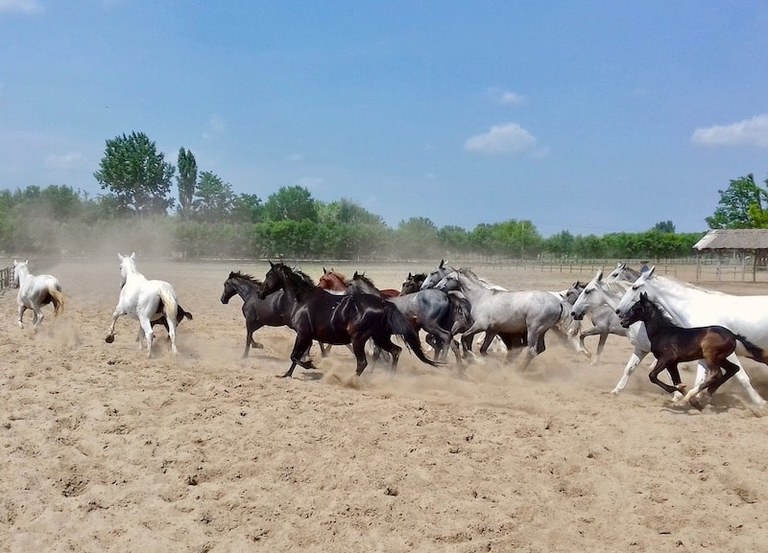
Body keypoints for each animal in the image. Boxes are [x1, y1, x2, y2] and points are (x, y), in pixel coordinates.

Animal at [259, 261, 438, 378]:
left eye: (268, 275)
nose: (260, 293)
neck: (303, 300)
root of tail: (384, 303)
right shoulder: (307, 335)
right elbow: (296, 356)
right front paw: (286, 374)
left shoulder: (303, 334)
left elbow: (295, 355)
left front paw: (311, 365)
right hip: (380, 337)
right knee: (395, 351)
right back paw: (391, 377)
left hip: (360, 338)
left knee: (363, 362)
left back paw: (351, 380)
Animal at [433, 268, 564, 370]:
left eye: (449, 278)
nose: (436, 287)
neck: (480, 297)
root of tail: (559, 303)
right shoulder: (492, 330)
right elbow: (483, 349)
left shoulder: (480, 325)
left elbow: (464, 337)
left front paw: (469, 355)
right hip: (542, 331)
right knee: (539, 349)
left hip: (533, 330)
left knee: (531, 351)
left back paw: (519, 370)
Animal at [614, 266, 768, 407]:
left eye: (635, 287)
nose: (619, 311)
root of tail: (733, 335)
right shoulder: (698, 356)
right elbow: (698, 379)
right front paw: (693, 398)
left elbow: (742, 377)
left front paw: (759, 403)